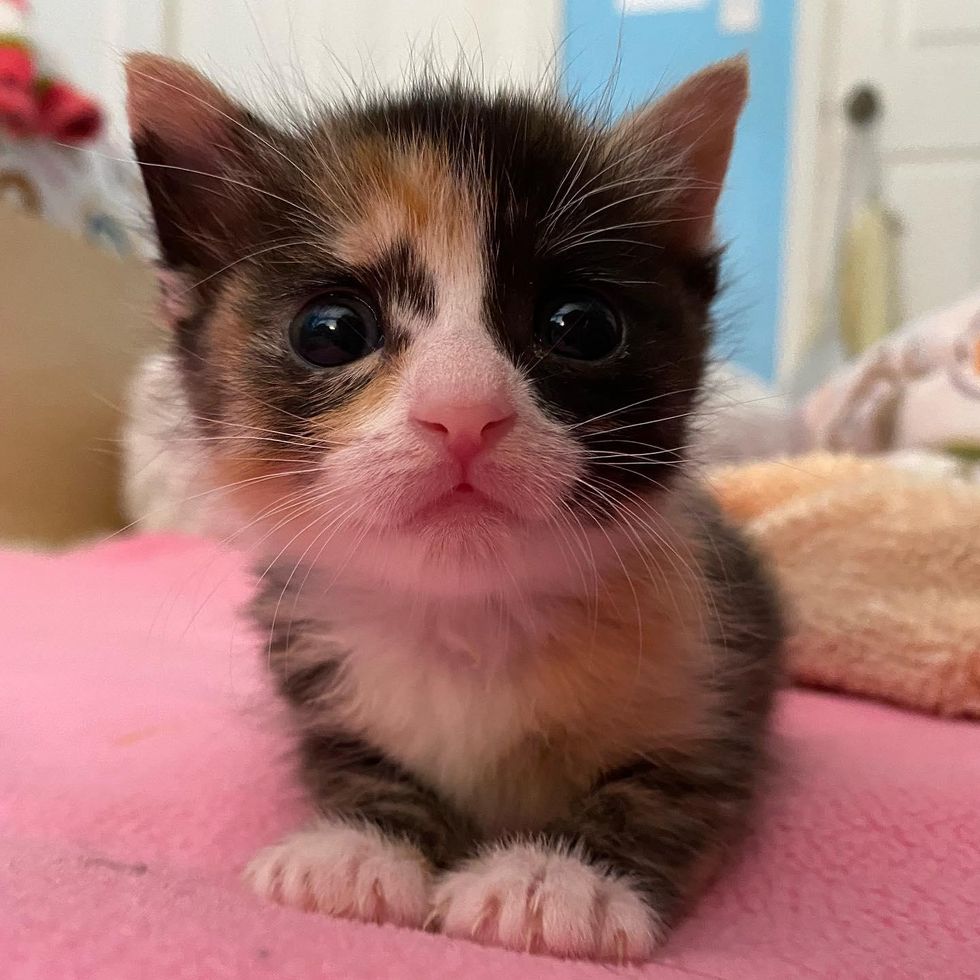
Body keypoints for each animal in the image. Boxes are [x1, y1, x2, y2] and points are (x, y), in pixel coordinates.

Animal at [124, 49, 780, 960]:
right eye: (331, 330)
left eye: (580, 325)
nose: (464, 412)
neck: (468, 613)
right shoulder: (320, 699)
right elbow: (354, 767)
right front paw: (361, 848)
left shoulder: (720, 682)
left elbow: (667, 793)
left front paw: (559, 879)